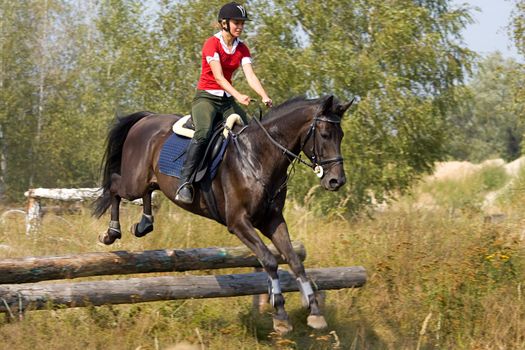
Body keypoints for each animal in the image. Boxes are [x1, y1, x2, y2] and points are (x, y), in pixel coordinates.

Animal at [91, 94, 352, 334]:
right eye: (325, 135)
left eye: (342, 136)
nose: (336, 181)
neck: (259, 157)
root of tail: (146, 119)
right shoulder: (238, 223)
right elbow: (269, 260)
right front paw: (280, 315)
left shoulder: (273, 220)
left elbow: (295, 261)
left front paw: (315, 312)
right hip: (133, 182)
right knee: (114, 186)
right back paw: (111, 233)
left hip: (149, 180)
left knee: (147, 192)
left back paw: (144, 224)